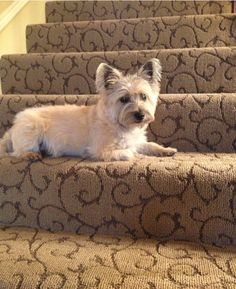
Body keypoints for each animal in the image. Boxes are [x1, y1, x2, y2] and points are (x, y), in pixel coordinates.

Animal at [0, 57, 177, 161]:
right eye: (124, 99)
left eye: (144, 97)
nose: (140, 115)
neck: (120, 124)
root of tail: (13, 128)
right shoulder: (101, 150)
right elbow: (127, 151)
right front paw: (134, 153)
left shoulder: (137, 140)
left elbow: (149, 145)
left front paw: (166, 150)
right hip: (32, 128)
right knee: (18, 151)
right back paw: (30, 154)